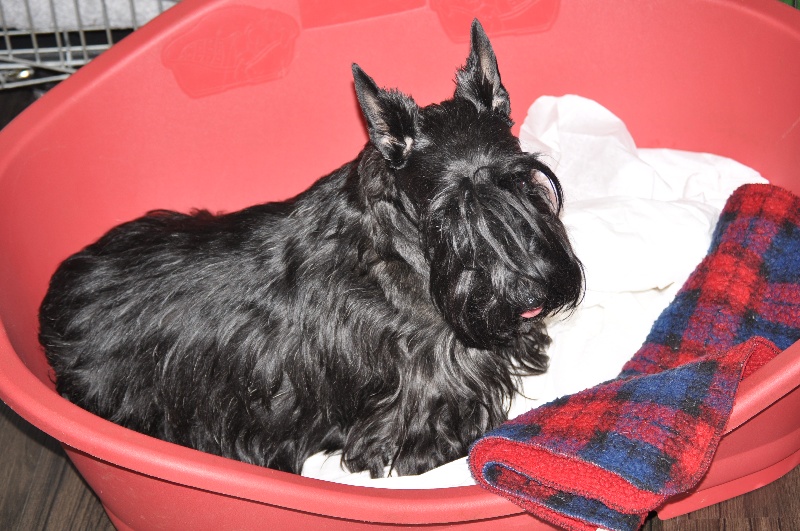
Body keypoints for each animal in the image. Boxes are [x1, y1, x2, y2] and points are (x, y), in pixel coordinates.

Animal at [39, 20, 584, 478]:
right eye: (444, 212)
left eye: (524, 179)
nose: (529, 293)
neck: (404, 248)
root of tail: (51, 312)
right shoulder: (421, 410)